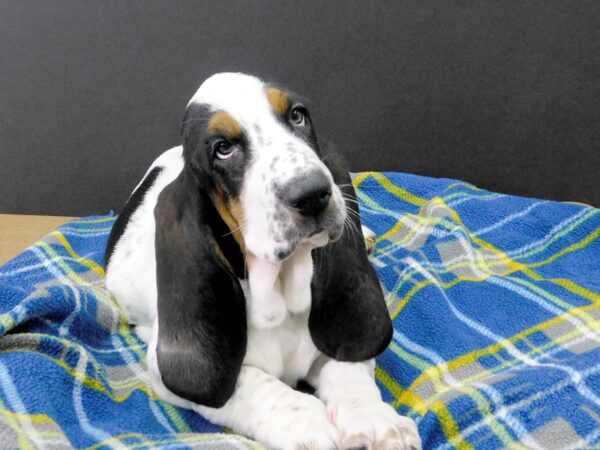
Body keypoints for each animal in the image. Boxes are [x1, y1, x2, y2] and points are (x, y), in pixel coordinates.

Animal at [104, 72, 422, 448]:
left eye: (297, 116)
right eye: (223, 149)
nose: (313, 193)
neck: (281, 293)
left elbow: (349, 370)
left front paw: (377, 424)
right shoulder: (167, 371)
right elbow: (256, 387)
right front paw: (308, 428)